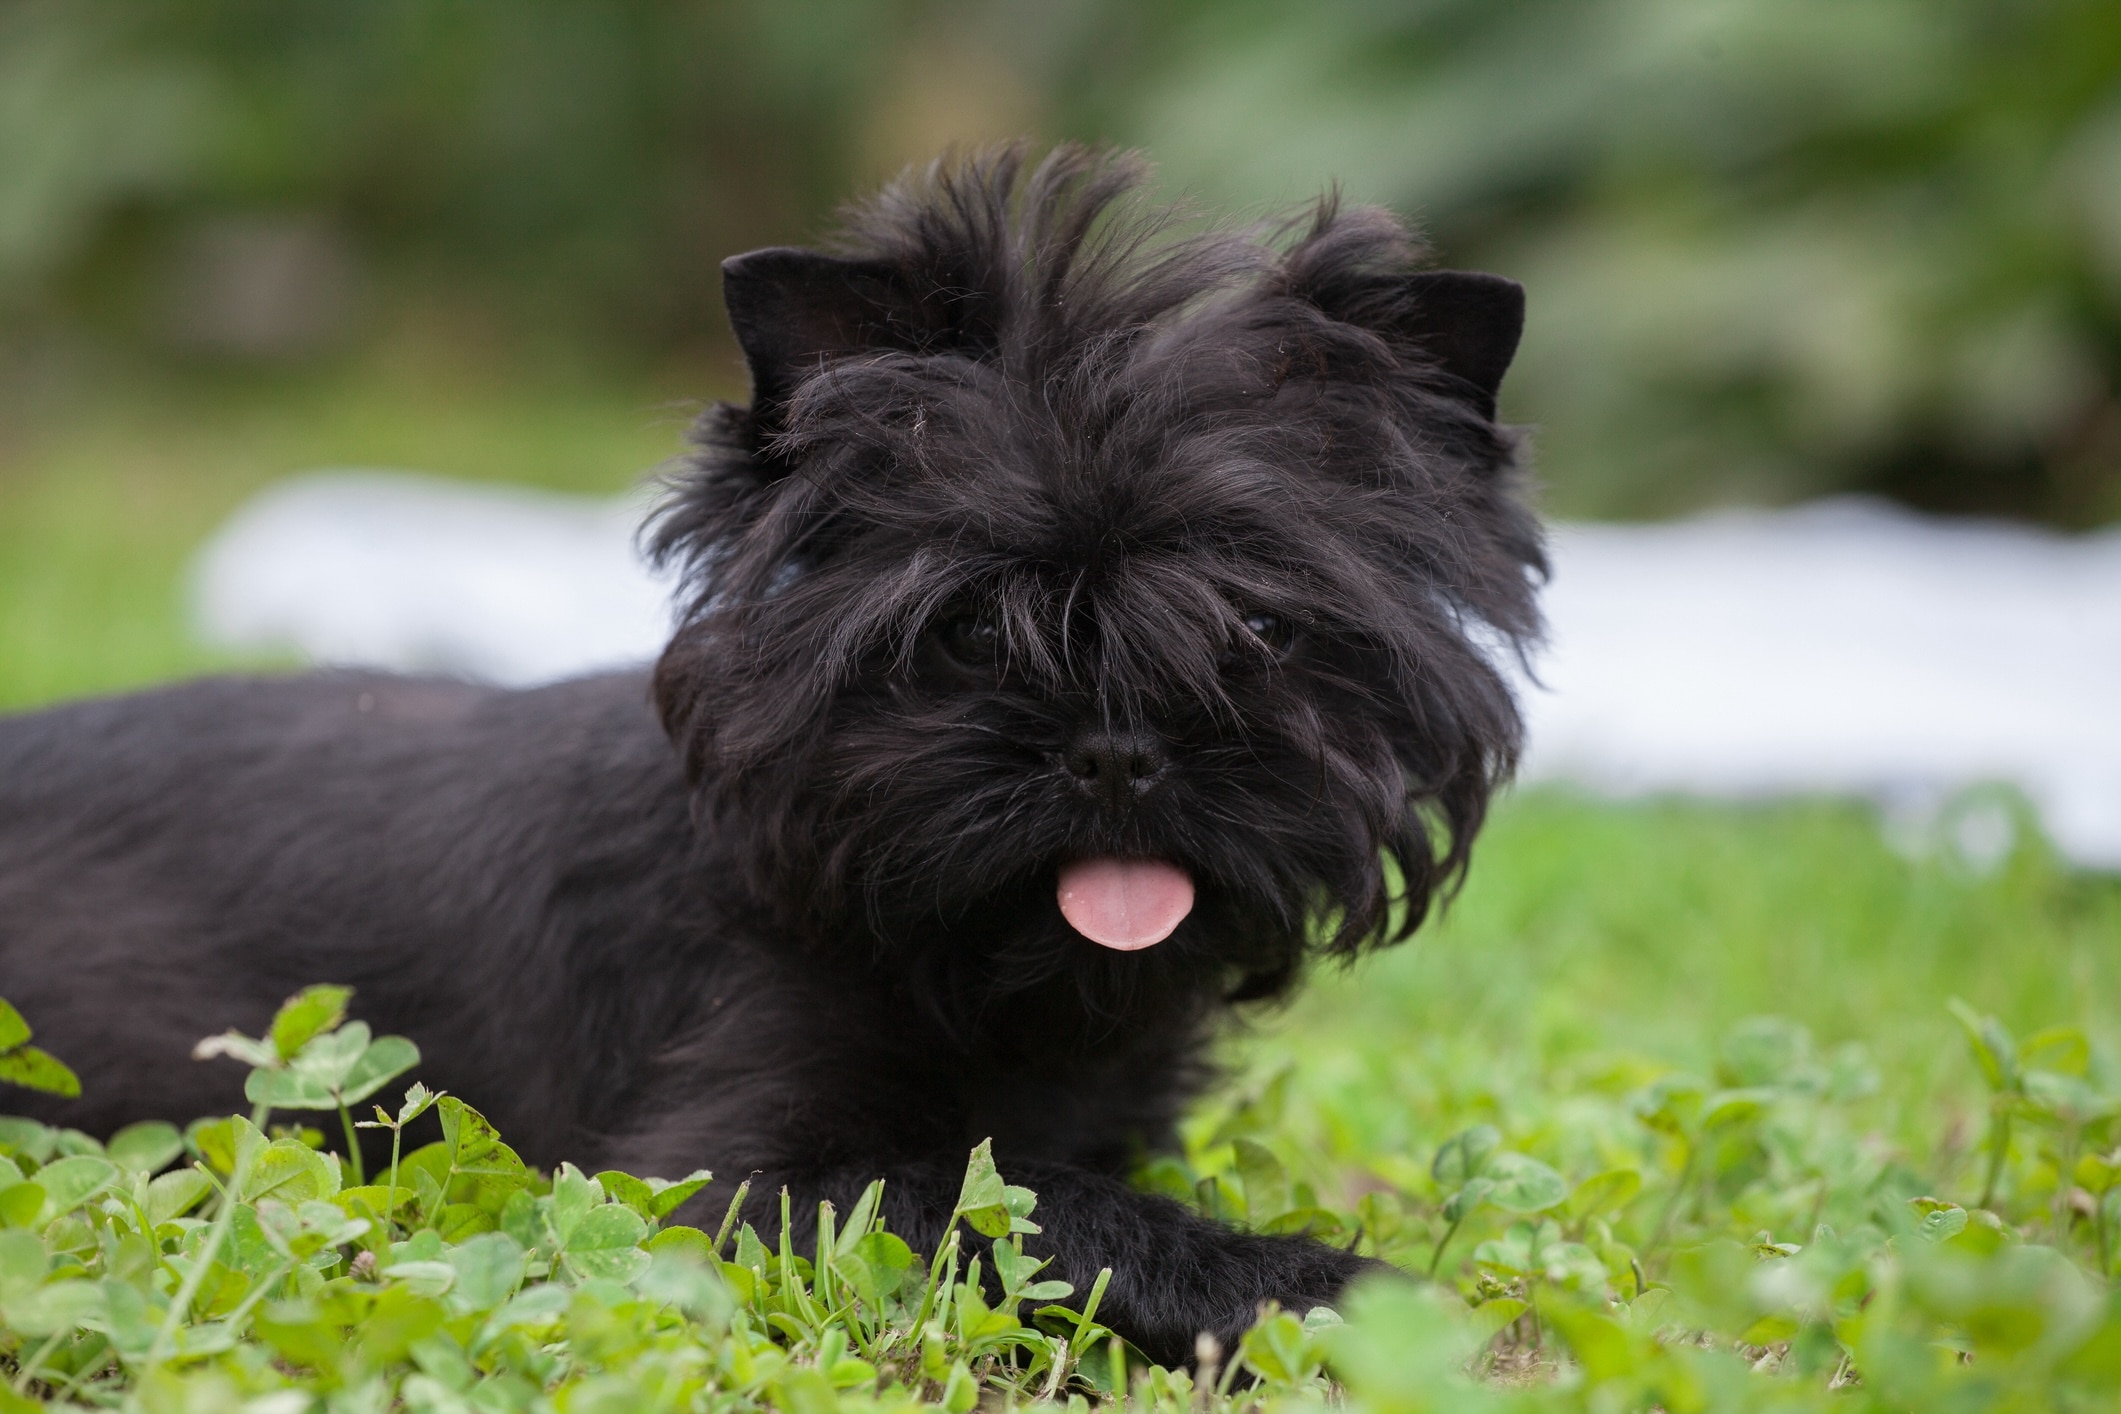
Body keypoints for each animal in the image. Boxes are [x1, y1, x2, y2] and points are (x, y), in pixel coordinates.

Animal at [0, 146, 1544, 1373]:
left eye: (1260, 629)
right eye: (968, 627)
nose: (1116, 748)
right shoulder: (717, 1184)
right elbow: (1036, 1203)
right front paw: (1321, 1281)